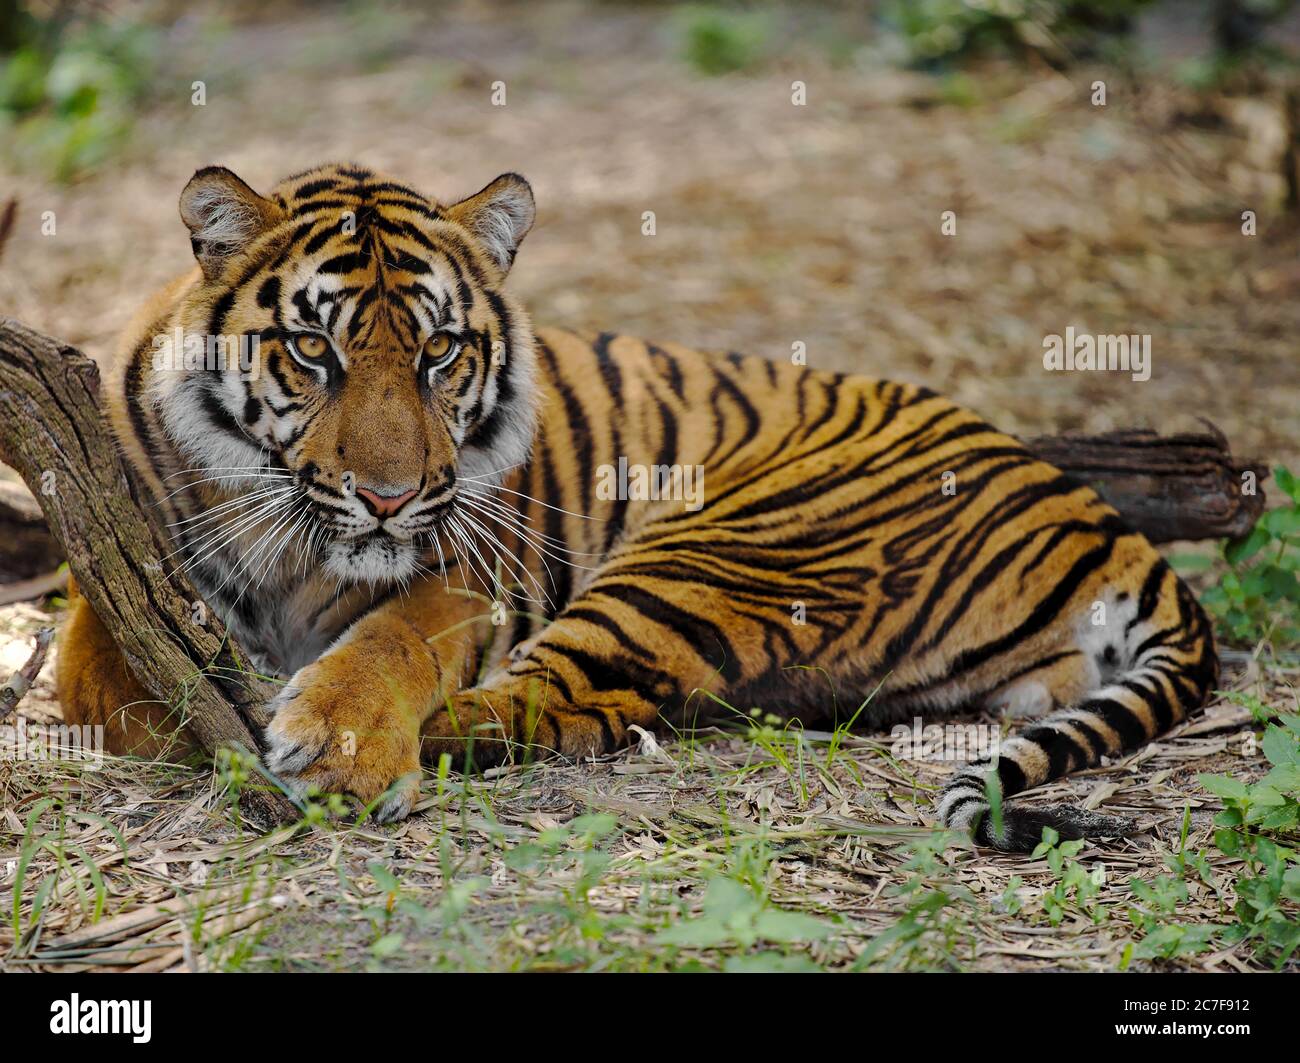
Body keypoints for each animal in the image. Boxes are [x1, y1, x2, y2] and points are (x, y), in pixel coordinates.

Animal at [58, 161, 1216, 847]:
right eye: (312, 349)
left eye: (439, 350)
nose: (389, 497)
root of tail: (1095, 511)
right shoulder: (118, 556)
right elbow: (113, 676)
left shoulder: (470, 572)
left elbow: (391, 642)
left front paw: (339, 745)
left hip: (715, 550)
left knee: (565, 704)